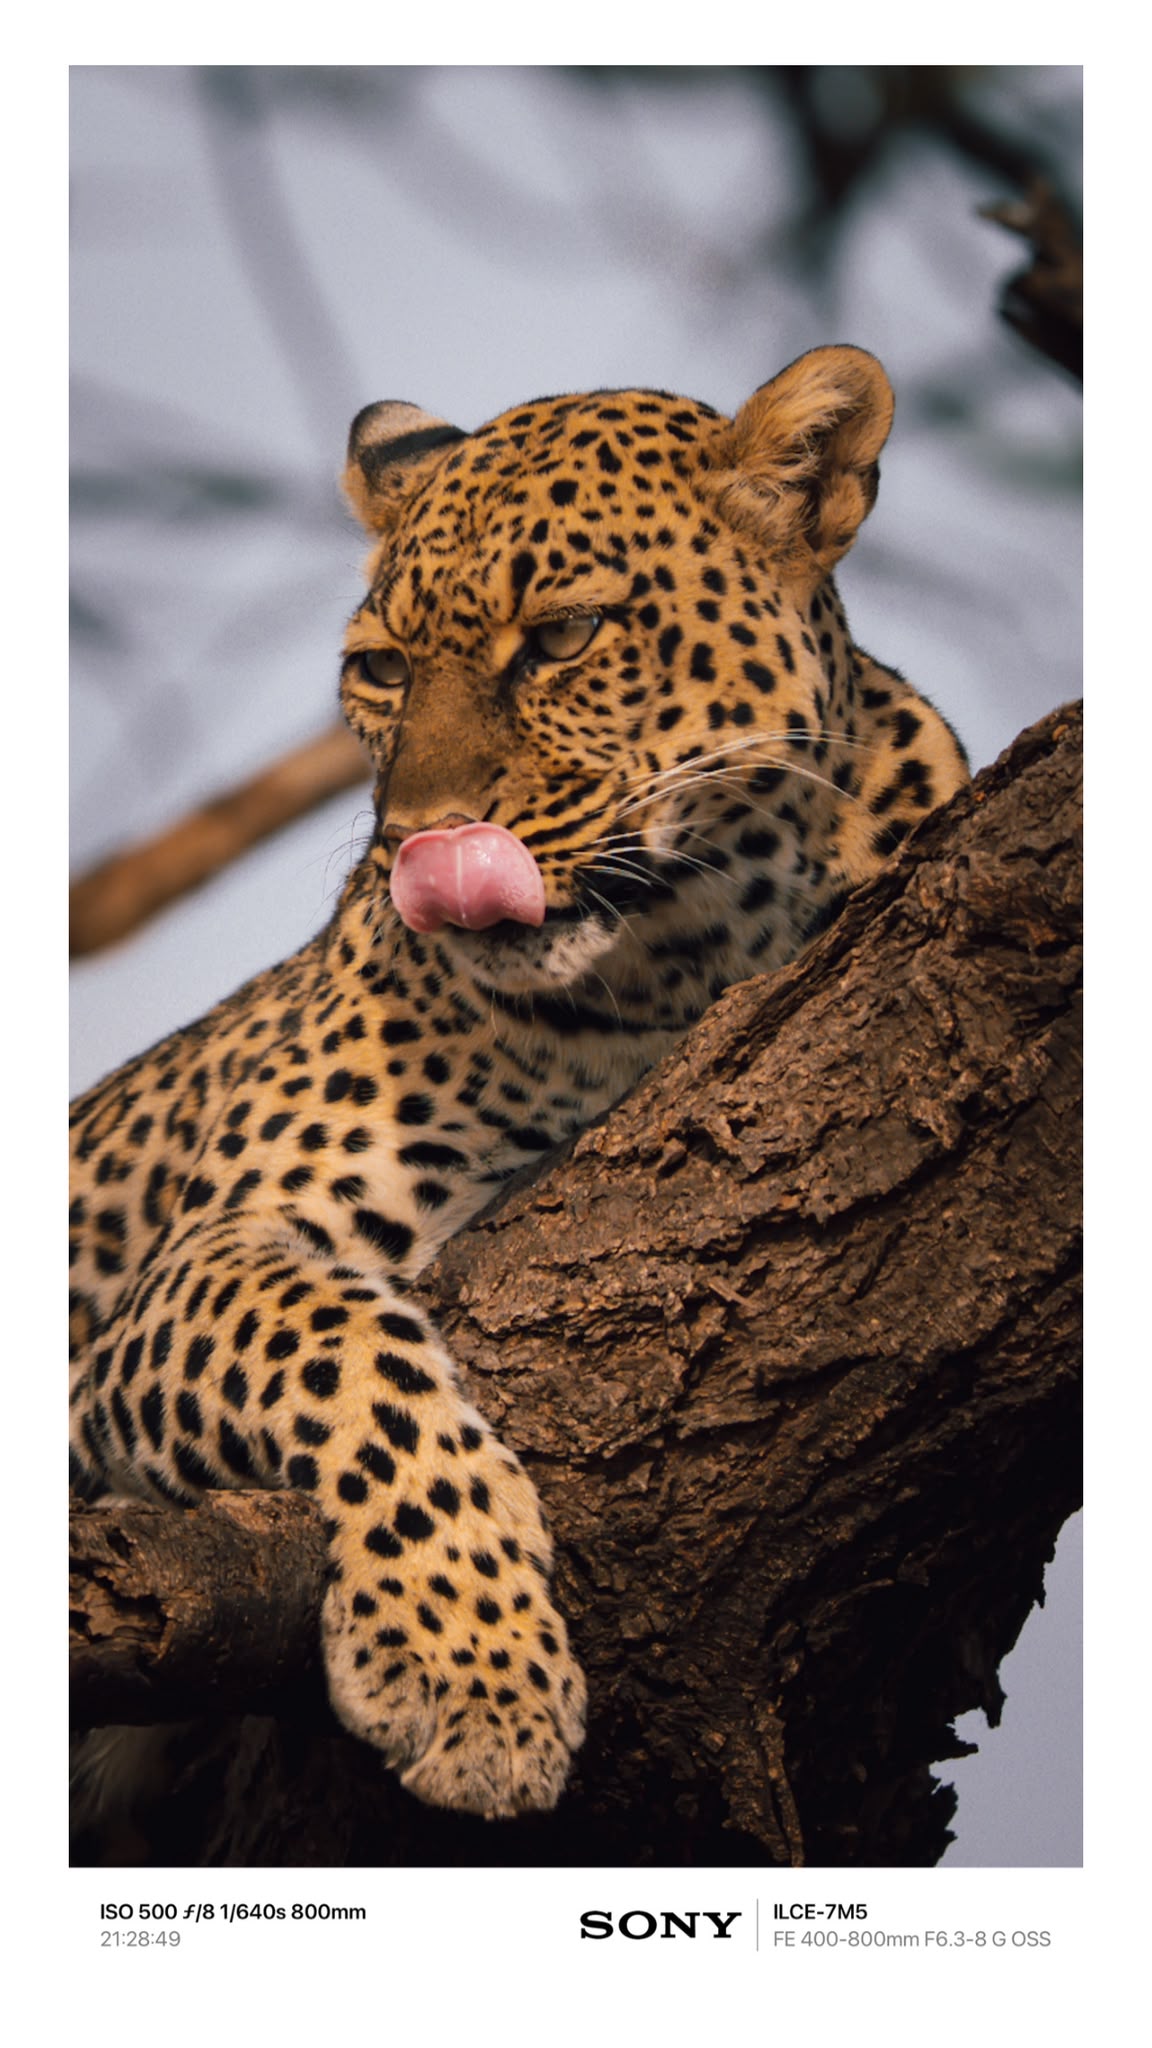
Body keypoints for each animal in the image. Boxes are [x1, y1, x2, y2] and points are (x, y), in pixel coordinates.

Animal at [69, 344, 970, 1826]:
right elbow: (343, 1343)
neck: (676, 963)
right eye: (379, 669)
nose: (417, 845)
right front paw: (470, 1671)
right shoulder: (192, 1272)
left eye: (561, 638)